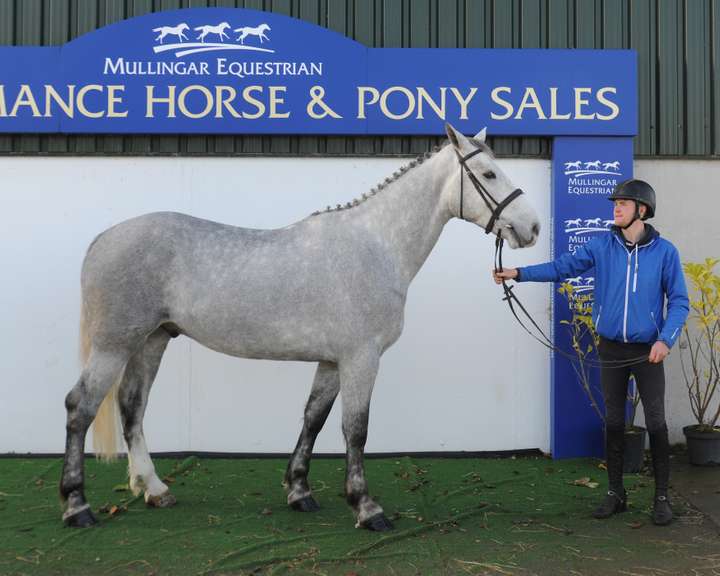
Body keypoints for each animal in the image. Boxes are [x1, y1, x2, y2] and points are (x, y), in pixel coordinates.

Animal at [59, 124, 541, 531]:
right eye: (488, 173)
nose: (532, 226)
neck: (375, 245)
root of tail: (104, 238)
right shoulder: (361, 357)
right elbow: (356, 428)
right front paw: (367, 508)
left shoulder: (331, 361)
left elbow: (314, 419)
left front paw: (299, 492)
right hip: (114, 344)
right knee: (80, 407)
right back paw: (77, 505)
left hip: (151, 339)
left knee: (132, 406)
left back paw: (154, 489)